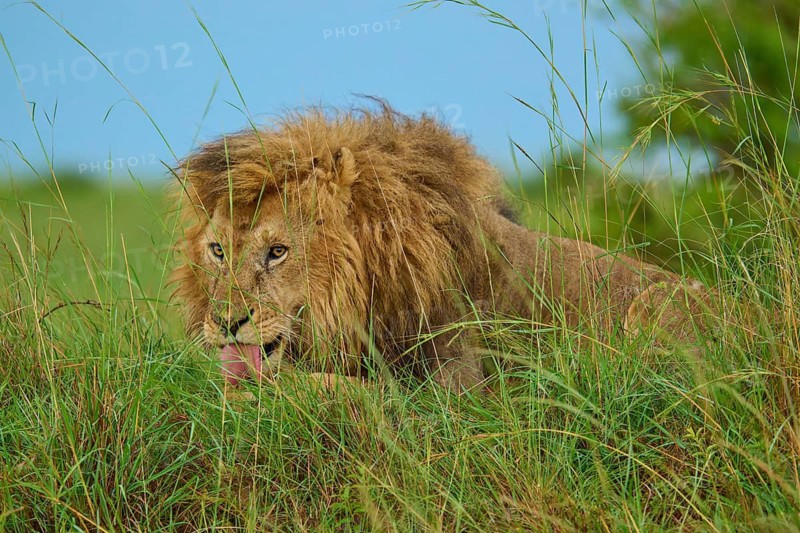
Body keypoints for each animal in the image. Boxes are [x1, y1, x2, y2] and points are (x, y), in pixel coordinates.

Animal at [172, 103, 716, 391]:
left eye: (278, 251)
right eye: (218, 251)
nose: (225, 323)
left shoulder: (457, 395)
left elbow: (349, 390)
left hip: (658, 302)